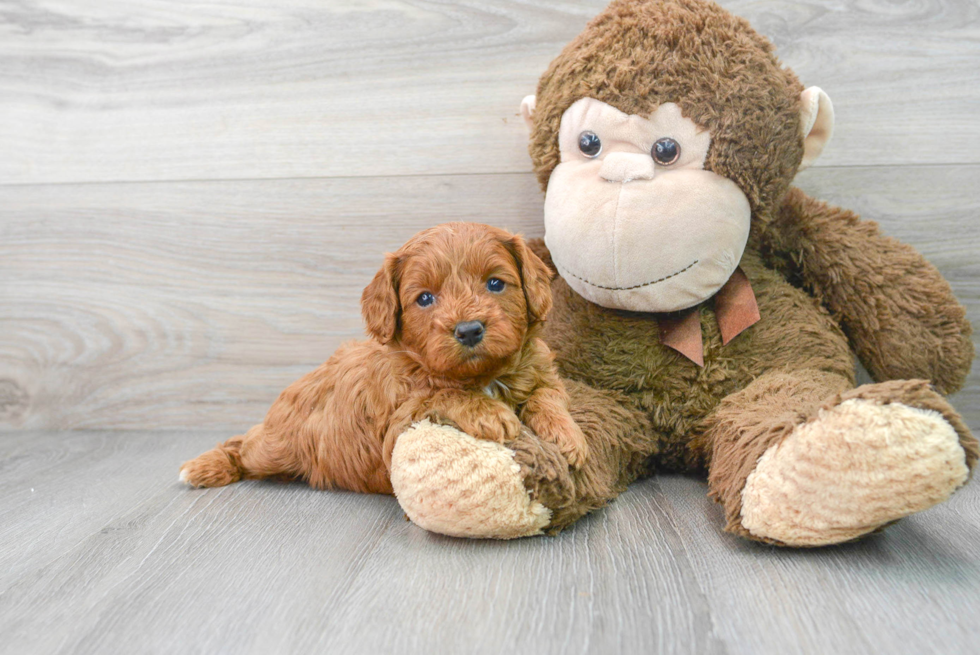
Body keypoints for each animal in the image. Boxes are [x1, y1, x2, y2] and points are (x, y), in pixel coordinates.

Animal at [180, 223, 584, 494]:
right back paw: (203, 466)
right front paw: (489, 414)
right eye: (424, 298)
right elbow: (440, 394)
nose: (469, 330)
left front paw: (567, 437)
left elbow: (547, 396)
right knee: (243, 445)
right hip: (275, 447)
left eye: (495, 283)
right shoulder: (399, 423)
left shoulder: (544, 373)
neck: (481, 376)